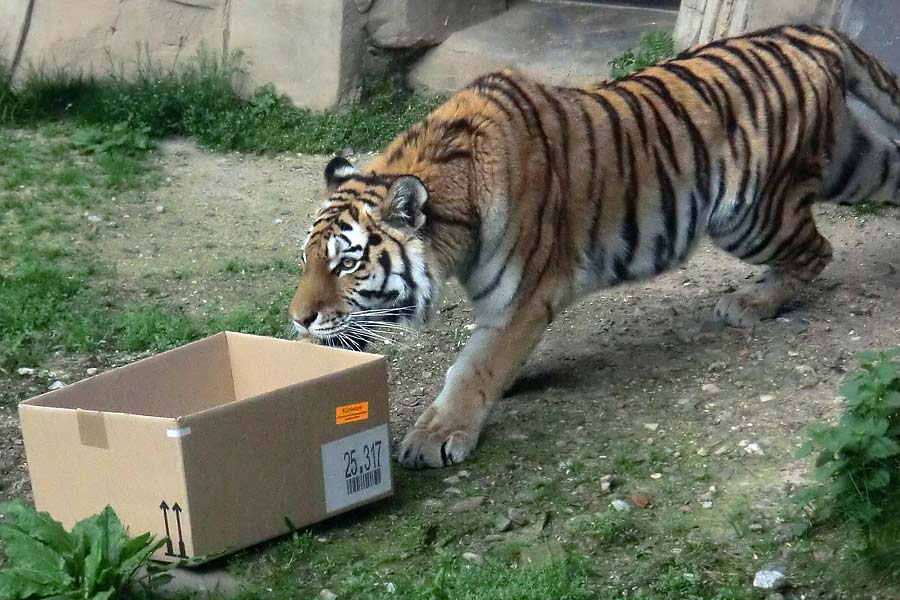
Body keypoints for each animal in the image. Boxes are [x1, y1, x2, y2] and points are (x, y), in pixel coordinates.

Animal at [286, 25, 900, 468]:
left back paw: (752, 302)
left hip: (749, 213)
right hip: (856, 163)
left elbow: (474, 367)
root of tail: (813, 34)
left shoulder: (520, 298)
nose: (298, 320)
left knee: (815, 249)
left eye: (347, 262)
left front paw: (436, 434)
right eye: (307, 260)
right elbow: (485, 360)